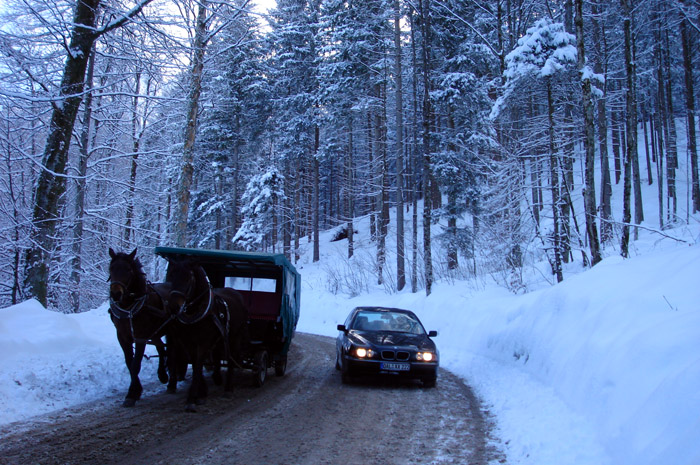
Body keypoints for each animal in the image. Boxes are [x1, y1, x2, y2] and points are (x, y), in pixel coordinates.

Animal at [108, 248, 179, 404]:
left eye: (128, 270)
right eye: (111, 268)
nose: (115, 294)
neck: (128, 308)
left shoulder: (140, 337)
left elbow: (136, 364)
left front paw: (131, 394)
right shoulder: (122, 337)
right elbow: (129, 363)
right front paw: (136, 390)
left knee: (173, 352)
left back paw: (171, 382)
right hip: (155, 332)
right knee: (161, 348)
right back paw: (162, 374)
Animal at [164, 256, 249, 412]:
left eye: (188, 278)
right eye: (171, 276)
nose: (173, 307)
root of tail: (236, 293)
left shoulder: (203, 343)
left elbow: (198, 366)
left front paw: (192, 398)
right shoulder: (189, 343)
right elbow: (196, 364)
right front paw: (201, 393)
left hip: (235, 337)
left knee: (231, 359)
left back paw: (228, 388)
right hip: (220, 339)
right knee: (217, 356)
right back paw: (217, 377)